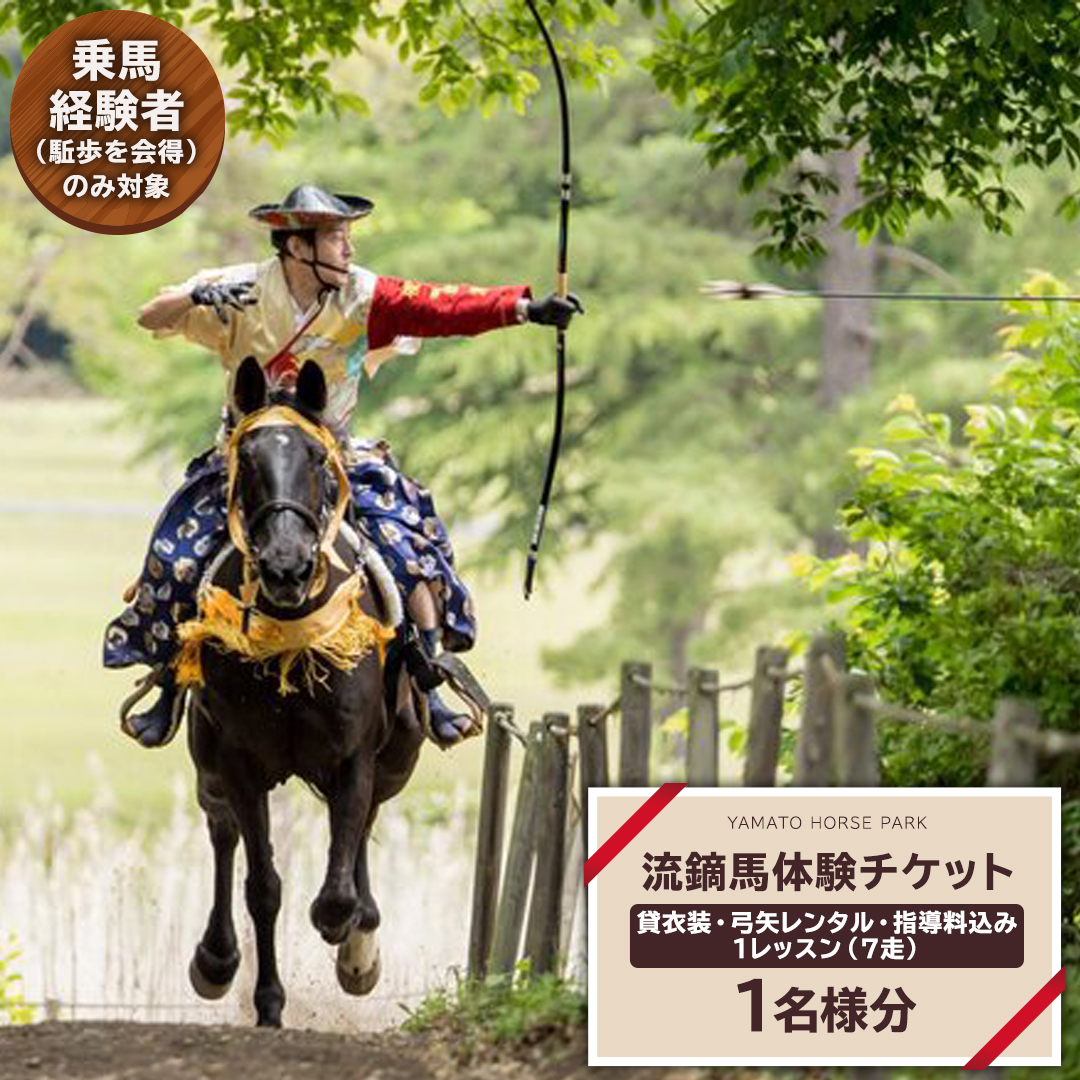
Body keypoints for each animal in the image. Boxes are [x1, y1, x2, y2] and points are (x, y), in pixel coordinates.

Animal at [181, 356, 424, 1027]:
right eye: (247, 461)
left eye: (316, 460)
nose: (285, 565)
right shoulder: (238, 759)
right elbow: (264, 888)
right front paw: (267, 1004)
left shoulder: (353, 754)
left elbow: (338, 888)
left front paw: (352, 940)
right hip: (206, 756)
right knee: (221, 829)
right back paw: (215, 960)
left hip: (400, 751)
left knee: (365, 822)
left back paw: (360, 946)